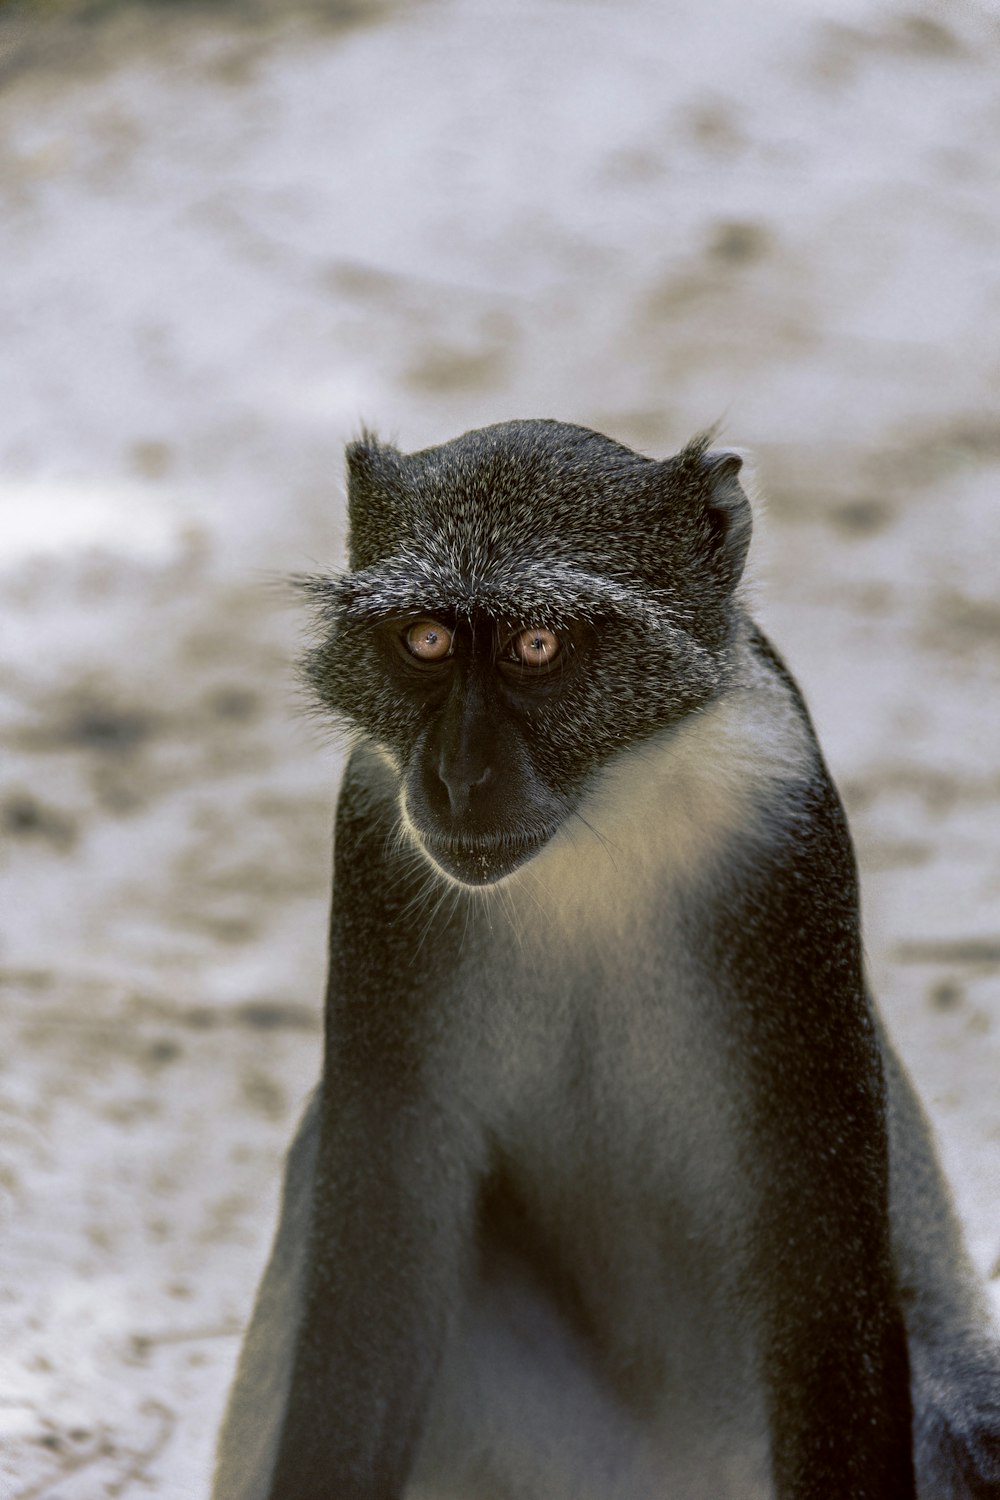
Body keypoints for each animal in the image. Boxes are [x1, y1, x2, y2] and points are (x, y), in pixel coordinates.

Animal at [211, 420, 1000, 1500]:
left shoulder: (784, 831)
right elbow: (380, 1253)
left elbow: (823, 1271)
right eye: (425, 642)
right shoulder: (376, 822)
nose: (457, 778)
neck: (599, 807)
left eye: (539, 645)